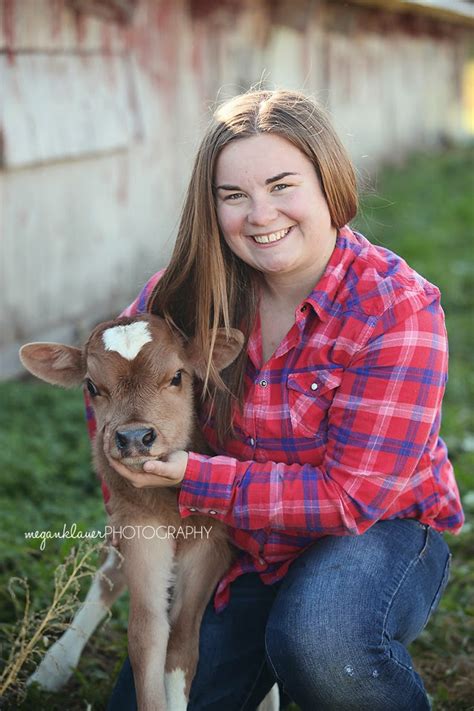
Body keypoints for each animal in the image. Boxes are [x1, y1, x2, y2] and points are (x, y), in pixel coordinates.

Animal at [19, 316, 248, 711]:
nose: (135, 437)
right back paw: (51, 668)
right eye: (92, 385)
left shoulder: (211, 545)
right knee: (108, 575)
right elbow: (146, 637)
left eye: (177, 376)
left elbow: (182, 644)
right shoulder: (139, 528)